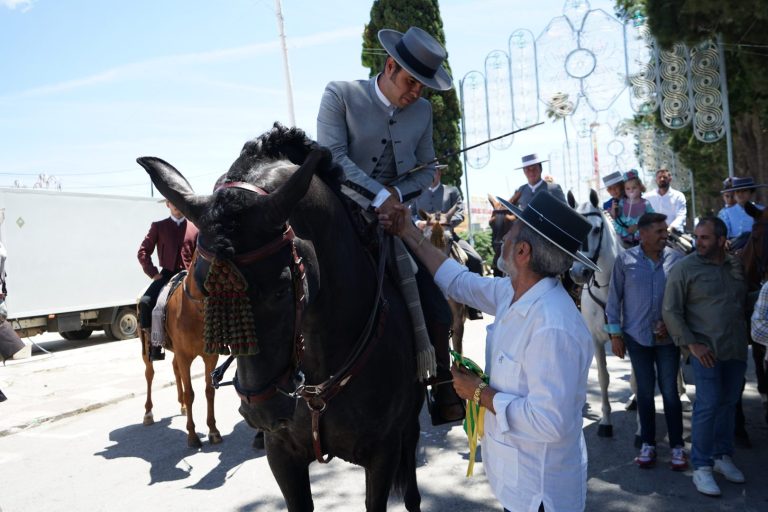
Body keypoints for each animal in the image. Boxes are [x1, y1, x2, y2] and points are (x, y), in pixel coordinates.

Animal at [139, 250, 225, 448]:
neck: (195, 310)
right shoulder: (184, 356)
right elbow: (190, 393)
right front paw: (192, 436)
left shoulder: (210, 356)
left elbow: (209, 391)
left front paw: (213, 431)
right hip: (147, 349)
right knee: (149, 374)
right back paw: (148, 413)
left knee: (174, 368)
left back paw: (182, 407)